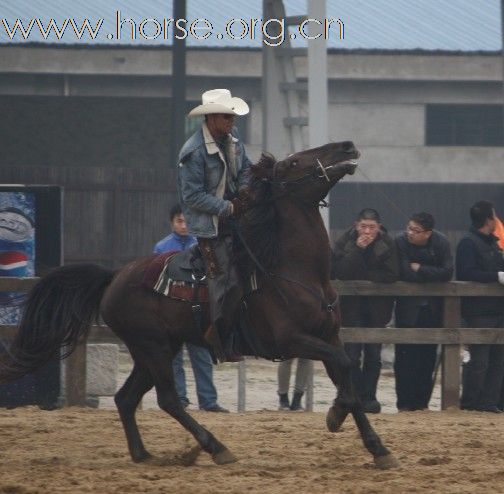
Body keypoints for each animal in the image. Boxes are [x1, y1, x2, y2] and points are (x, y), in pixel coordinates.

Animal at [0, 140, 400, 470]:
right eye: (294, 162)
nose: (346, 145)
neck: (294, 271)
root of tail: (114, 276)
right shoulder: (290, 341)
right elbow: (346, 368)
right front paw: (334, 415)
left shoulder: (329, 338)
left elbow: (347, 376)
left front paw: (378, 448)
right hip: (153, 347)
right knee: (167, 400)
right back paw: (216, 448)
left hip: (153, 349)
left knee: (126, 399)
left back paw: (143, 454)